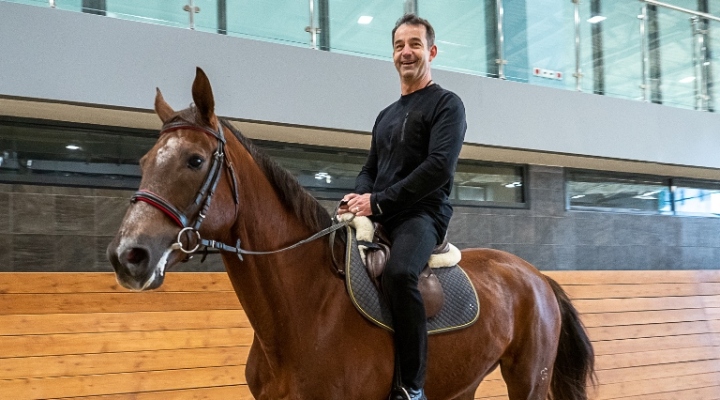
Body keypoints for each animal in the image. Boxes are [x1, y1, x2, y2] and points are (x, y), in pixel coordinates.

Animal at [105, 69, 592, 400]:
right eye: (145, 160)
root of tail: (536, 276)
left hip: (528, 380)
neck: (305, 310)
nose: (127, 255)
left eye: (195, 160)